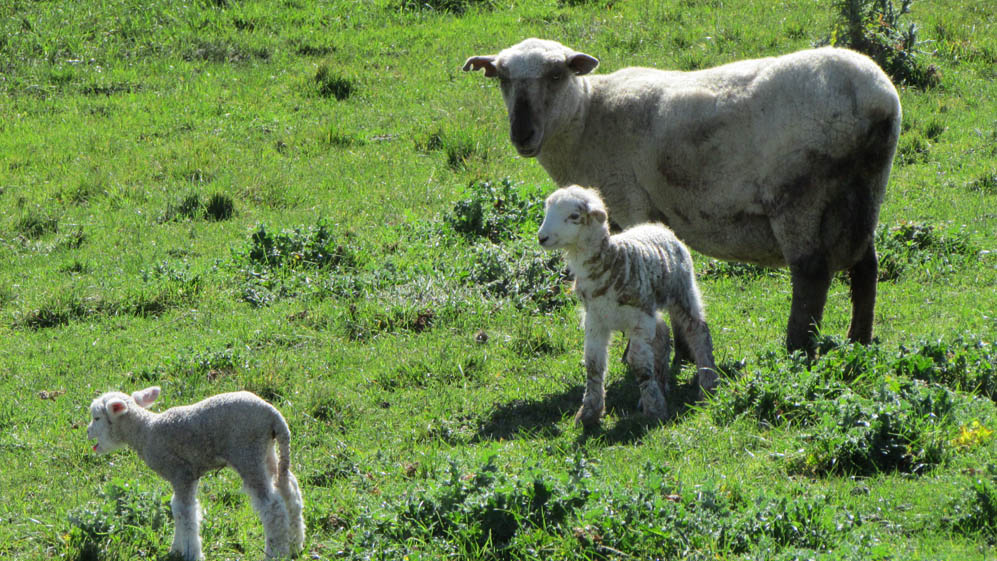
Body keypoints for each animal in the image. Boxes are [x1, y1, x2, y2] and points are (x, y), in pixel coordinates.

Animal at [85, 388, 304, 556]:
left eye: (97, 418)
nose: (87, 431)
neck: (145, 431)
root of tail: (273, 415)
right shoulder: (186, 476)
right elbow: (177, 509)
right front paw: (177, 548)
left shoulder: (181, 473)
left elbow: (186, 513)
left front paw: (191, 552)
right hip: (266, 452)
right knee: (289, 491)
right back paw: (295, 545)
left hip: (247, 454)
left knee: (272, 507)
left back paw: (276, 552)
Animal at [462, 38, 900, 354]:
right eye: (501, 78)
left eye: (556, 75)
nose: (522, 134)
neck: (588, 117)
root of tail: (877, 99)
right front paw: (683, 352)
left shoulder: (630, 200)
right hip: (864, 193)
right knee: (866, 268)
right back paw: (859, 340)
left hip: (798, 196)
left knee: (811, 273)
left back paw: (796, 348)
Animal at [536, 184, 716, 424]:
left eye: (574, 216)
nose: (542, 238)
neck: (611, 261)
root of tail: (657, 226)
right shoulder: (595, 319)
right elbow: (593, 364)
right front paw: (589, 412)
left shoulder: (639, 319)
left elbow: (639, 364)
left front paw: (654, 410)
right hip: (651, 307)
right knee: (662, 335)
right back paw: (661, 384)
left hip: (681, 290)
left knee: (697, 330)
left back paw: (708, 384)